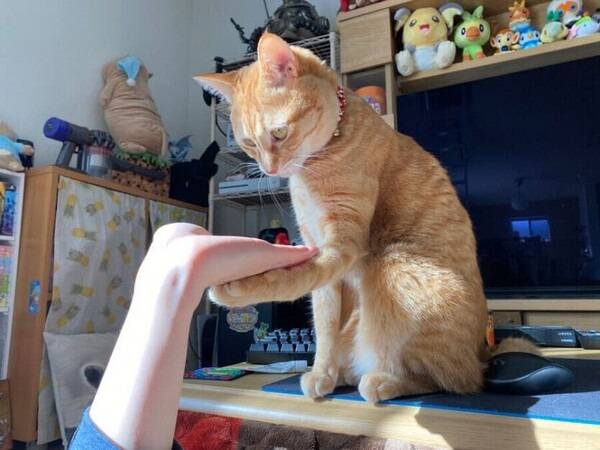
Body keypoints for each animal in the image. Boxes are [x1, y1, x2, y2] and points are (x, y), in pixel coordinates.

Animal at [196, 32, 512, 402]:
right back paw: (346, 373)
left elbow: (292, 277)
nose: (269, 170)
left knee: (448, 380)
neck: (314, 165)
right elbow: (324, 324)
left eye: (278, 134)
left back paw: (384, 380)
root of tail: (483, 353)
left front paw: (241, 286)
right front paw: (323, 374)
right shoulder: (320, 255)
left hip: (392, 265)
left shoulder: (341, 242)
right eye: (248, 144)